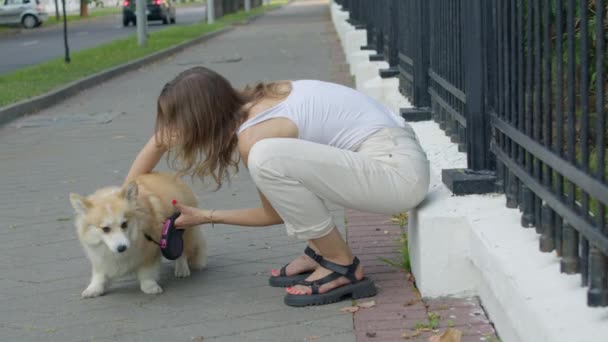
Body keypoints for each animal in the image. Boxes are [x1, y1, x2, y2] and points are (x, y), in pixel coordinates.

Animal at [69, 172, 207, 298]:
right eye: (105, 229)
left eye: (124, 224)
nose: (122, 248)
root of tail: (172, 176)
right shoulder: (100, 257)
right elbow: (99, 274)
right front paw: (94, 288)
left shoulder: (150, 252)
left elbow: (146, 272)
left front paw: (149, 287)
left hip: (180, 231)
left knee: (182, 252)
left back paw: (182, 269)